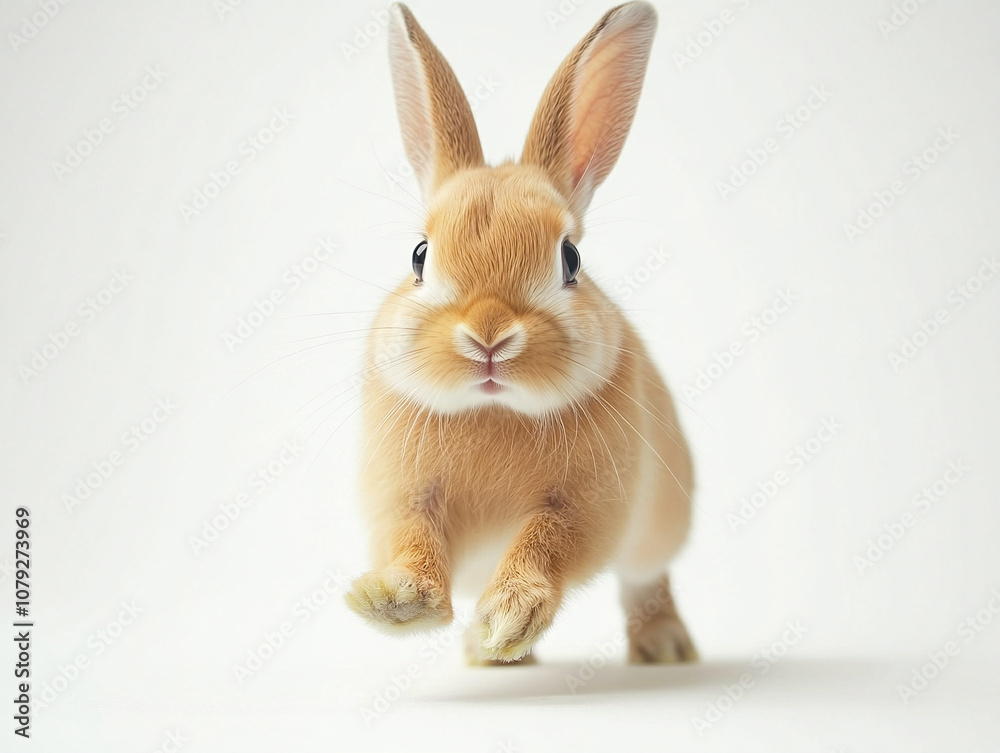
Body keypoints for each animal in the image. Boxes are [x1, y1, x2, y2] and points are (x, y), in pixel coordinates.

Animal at [344, 1, 698, 665]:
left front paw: (507, 617)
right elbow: (413, 540)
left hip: (659, 523)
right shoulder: (406, 494)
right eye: (420, 256)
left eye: (570, 259)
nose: (488, 336)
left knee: (645, 579)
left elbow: (547, 544)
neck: (494, 411)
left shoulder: (585, 504)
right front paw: (392, 601)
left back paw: (663, 648)